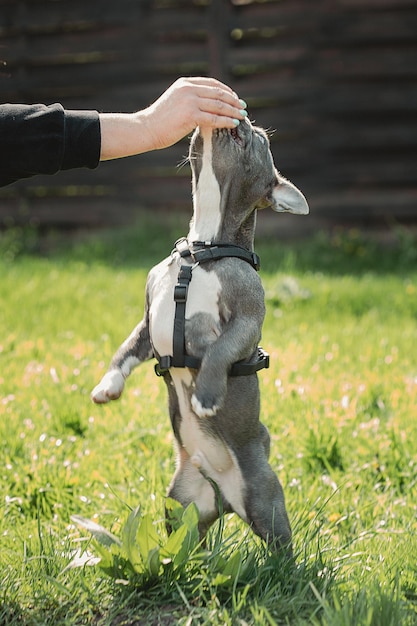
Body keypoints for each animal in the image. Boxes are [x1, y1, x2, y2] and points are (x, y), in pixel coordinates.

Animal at [91, 116, 308, 552]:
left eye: (260, 140)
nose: (244, 117)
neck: (202, 247)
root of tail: (224, 499)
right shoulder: (146, 321)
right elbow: (124, 351)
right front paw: (108, 386)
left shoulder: (246, 321)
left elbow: (220, 351)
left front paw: (207, 396)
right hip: (180, 502)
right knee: (187, 537)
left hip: (265, 497)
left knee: (279, 544)